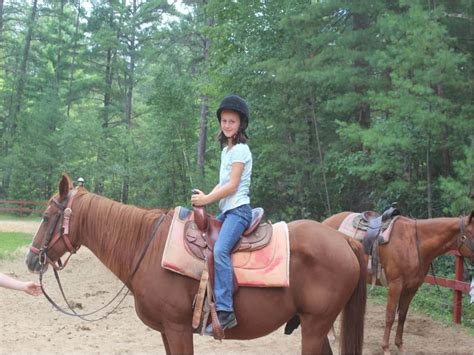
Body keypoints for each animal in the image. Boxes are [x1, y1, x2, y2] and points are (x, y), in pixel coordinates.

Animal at [25, 176, 366, 355]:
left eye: (46, 216)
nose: (31, 259)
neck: (148, 247)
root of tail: (342, 240)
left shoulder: (177, 328)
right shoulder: (166, 330)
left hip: (316, 324)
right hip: (315, 325)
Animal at [322, 211, 474, 355]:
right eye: (472, 233)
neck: (415, 243)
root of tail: (325, 223)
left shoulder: (411, 288)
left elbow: (402, 316)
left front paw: (400, 346)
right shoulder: (395, 285)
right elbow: (390, 316)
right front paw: (385, 348)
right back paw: (330, 335)